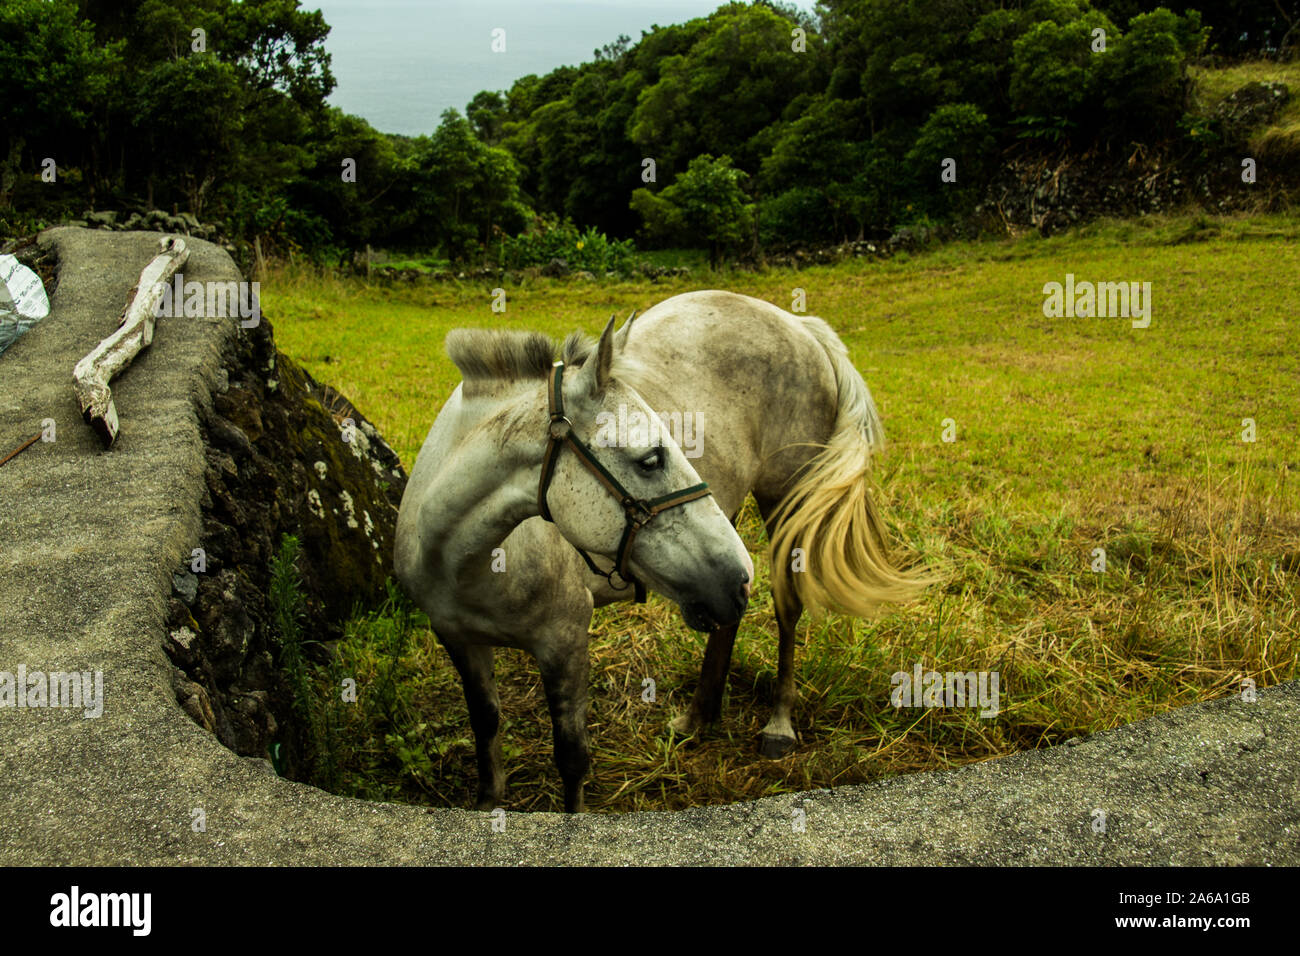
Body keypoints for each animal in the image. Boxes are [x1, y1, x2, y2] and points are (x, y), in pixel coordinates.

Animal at [395, 287, 925, 811]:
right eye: (651, 458)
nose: (737, 575)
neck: (462, 559)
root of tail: (800, 324)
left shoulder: (565, 643)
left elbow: (572, 758)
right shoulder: (458, 639)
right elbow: (486, 725)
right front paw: (489, 803)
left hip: (785, 502)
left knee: (786, 607)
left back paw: (778, 724)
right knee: (728, 620)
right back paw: (698, 717)